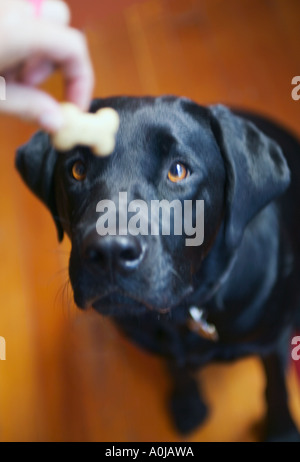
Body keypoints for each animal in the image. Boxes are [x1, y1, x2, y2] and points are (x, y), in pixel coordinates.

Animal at [15, 96, 300, 440]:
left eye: (178, 171)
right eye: (77, 170)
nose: (110, 252)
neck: (189, 309)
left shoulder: (273, 337)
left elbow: (276, 385)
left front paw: (282, 431)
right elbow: (177, 367)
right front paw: (187, 405)